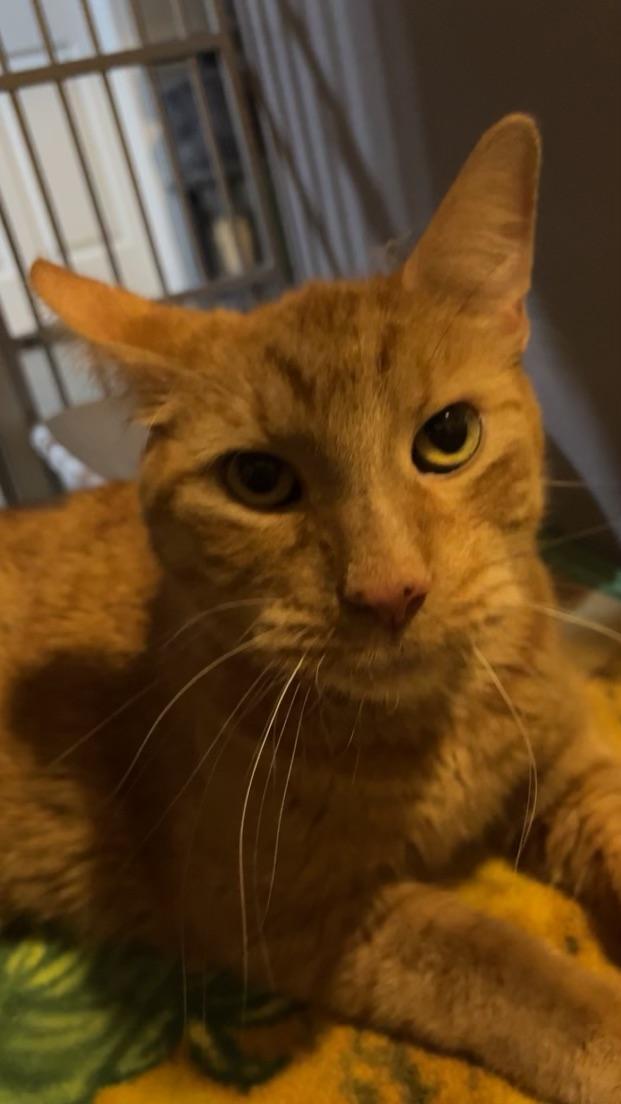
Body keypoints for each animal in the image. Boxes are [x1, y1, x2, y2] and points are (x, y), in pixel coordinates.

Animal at [0, 113, 620, 1103]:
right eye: (258, 480)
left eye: (448, 436)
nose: (389, 590)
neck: (436, 731)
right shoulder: (285, 914)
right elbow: (496, 960)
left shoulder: (568, 768)